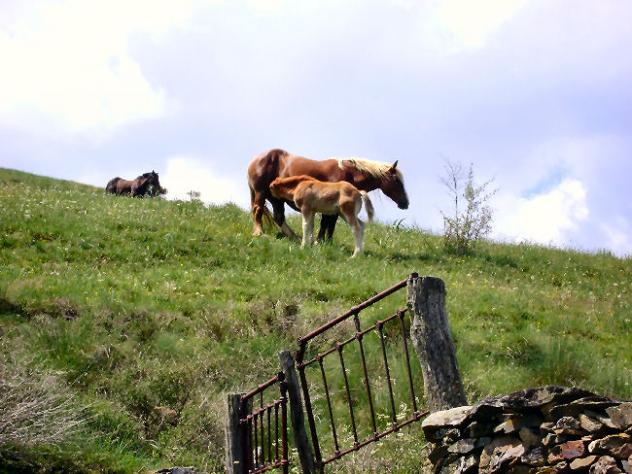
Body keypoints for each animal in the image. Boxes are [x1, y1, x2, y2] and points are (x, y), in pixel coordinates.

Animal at [247, 148, 408, 240]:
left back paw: (294, 237)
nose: (405, 203)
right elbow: (326, 223)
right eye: (397, 180)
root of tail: (254, 161)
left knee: (279, 217)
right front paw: (320, 241)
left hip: (276, 199)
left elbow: (330, 225)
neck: (349, 174)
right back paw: (259, 232)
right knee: (258, 210)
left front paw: (326, 241)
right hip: (261, 193)